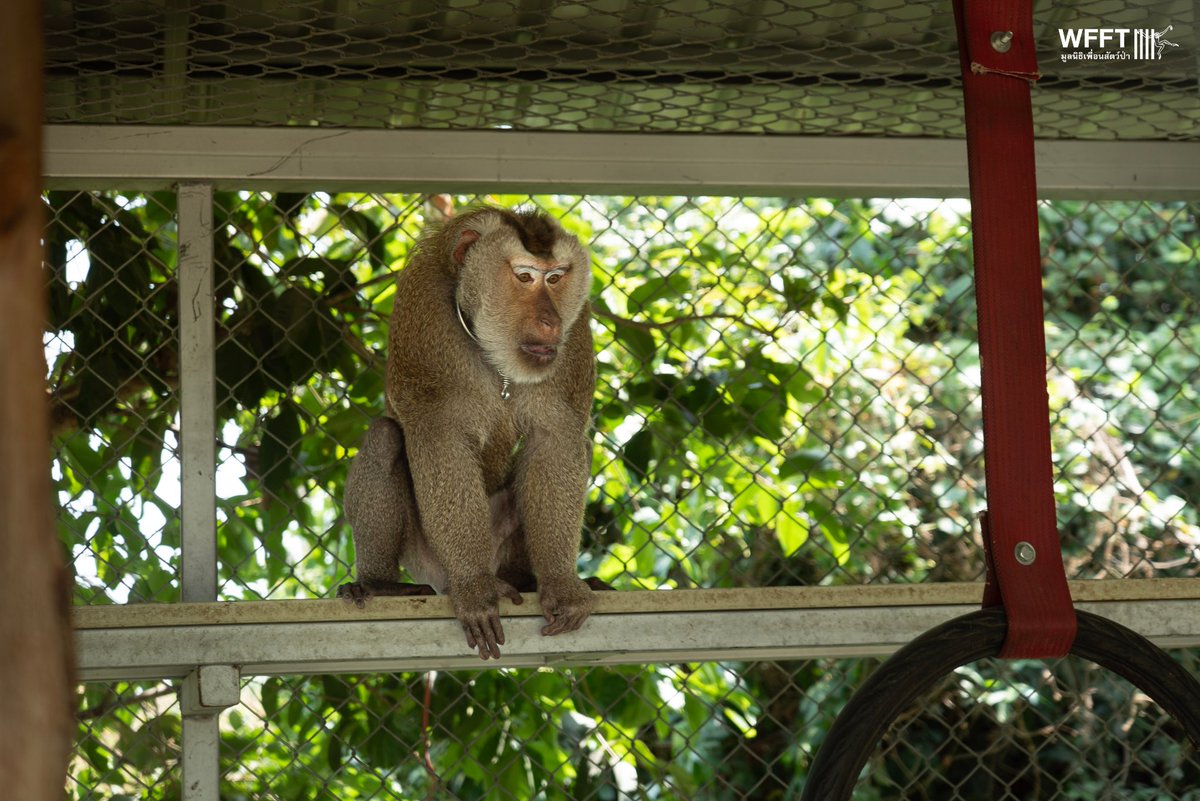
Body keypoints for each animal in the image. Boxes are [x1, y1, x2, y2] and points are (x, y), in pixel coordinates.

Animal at [338, 206, 603, 660]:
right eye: (525, 277)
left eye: (555, 278)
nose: (551, 323)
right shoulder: (426, 319)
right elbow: (439, 437)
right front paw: (475, 586)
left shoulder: (575, 336)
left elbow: (555, 438)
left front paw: (560, 584)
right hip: (427, 555)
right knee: (385, 437)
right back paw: (379, 584)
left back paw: (527, 579)